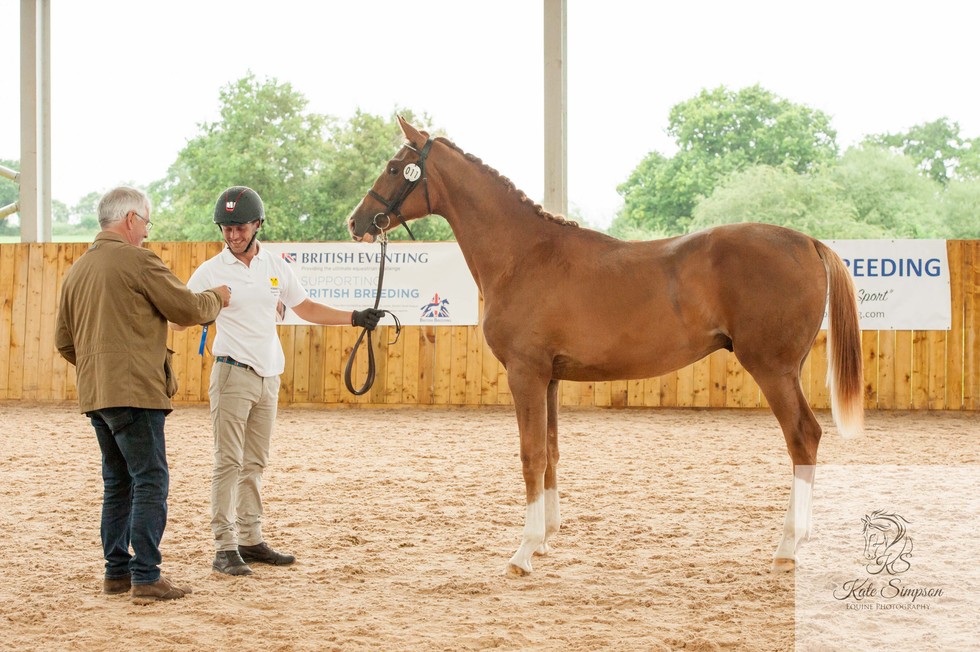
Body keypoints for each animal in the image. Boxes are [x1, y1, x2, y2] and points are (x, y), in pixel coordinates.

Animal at [347, 117, 863, 576]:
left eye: (394, 168)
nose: (356, 222)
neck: (524, 255)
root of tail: (807, 241)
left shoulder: (526, 373)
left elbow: (531, 455)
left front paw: (523, 552)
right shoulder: (549, 378)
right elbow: (551, 452)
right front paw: (546, 539)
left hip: (773, 369)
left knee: (803, 437)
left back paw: (787, 548)